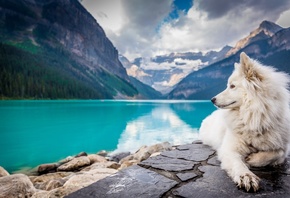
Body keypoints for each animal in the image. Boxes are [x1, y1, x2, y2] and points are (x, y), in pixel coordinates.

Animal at [199, 51, 290, 191]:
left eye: (232, 86)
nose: (212, 99)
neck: (254, 118)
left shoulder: (283, 147)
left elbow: (276, 153)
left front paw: (253, 159)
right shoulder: (230, 149)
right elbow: (238, 164)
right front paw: (246, 176)